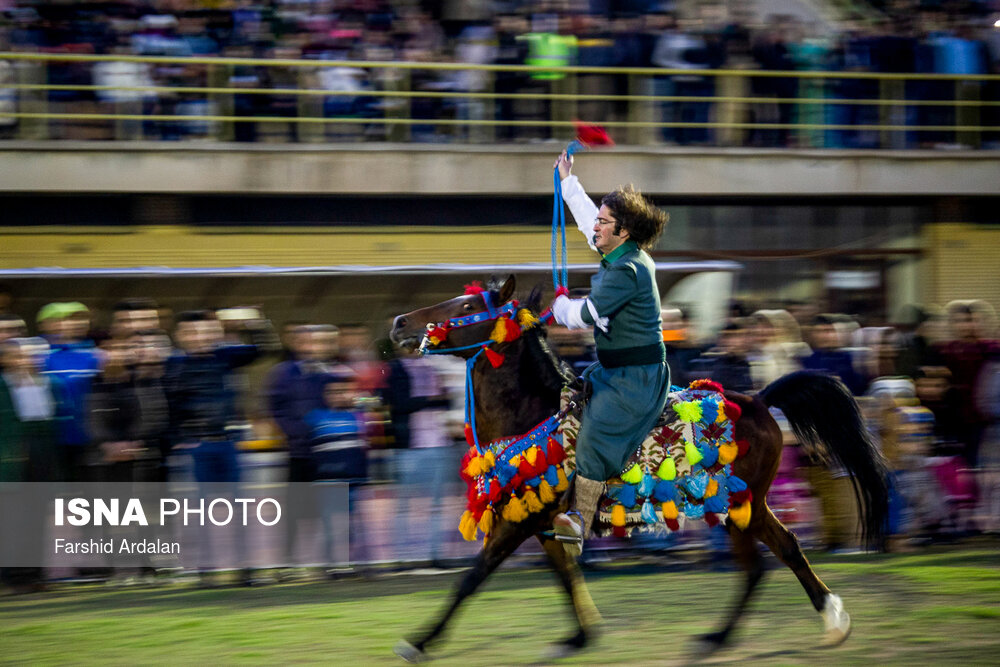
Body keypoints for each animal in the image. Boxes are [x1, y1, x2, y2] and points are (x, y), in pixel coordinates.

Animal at [386, 276, 888, 664]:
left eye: (468, 306)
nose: (399, 323)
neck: (531, 413)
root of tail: (761, 400)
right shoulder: (544, 523)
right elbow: (565, 577)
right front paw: (580, 636)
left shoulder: (518, 522)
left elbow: (471, 578)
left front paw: (418, 643)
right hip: (743, 505)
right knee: (775, 556)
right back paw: (801, 624)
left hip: (737, 502)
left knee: (766, 562)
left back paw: (749, 633)